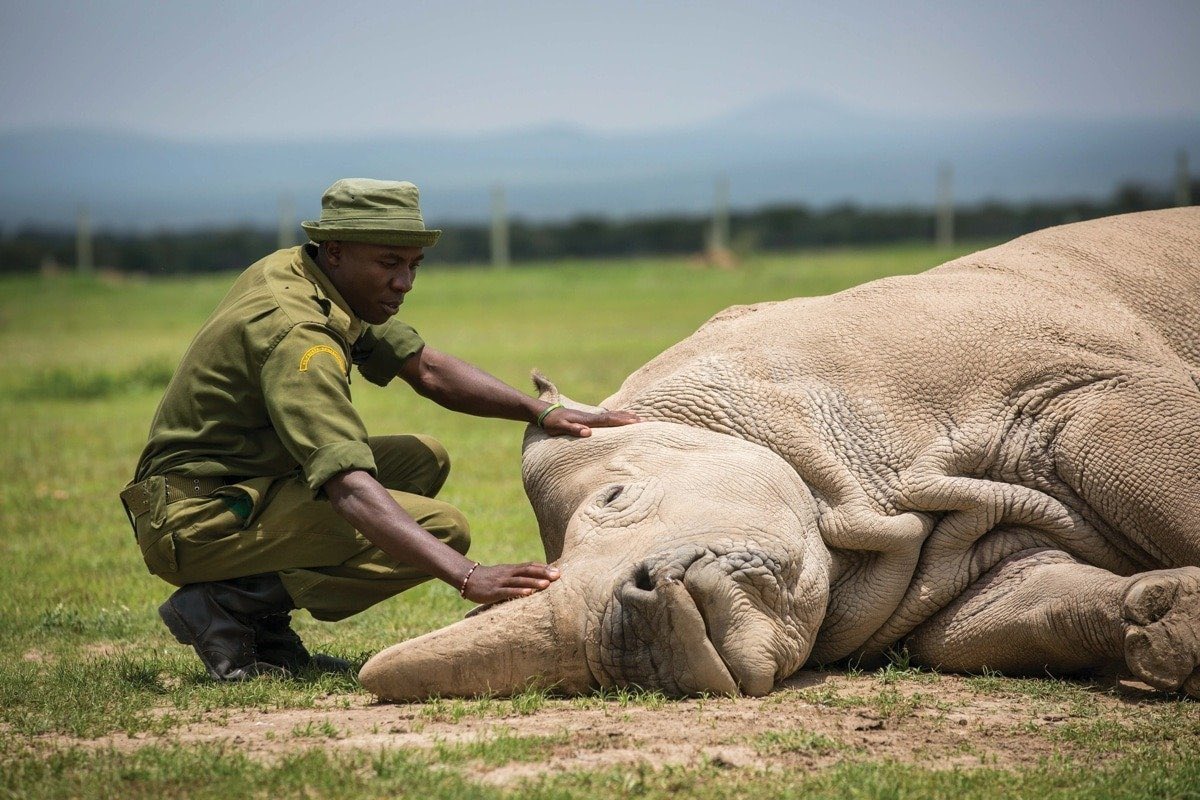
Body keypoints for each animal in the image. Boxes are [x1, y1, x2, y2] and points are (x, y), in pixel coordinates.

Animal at [360, 207, 1200, 701]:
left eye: (615, 499)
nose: (638, 650)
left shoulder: (1077, 390)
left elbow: (1173, 485)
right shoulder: (966, 562)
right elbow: (1029, 607)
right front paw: (1170, 627)